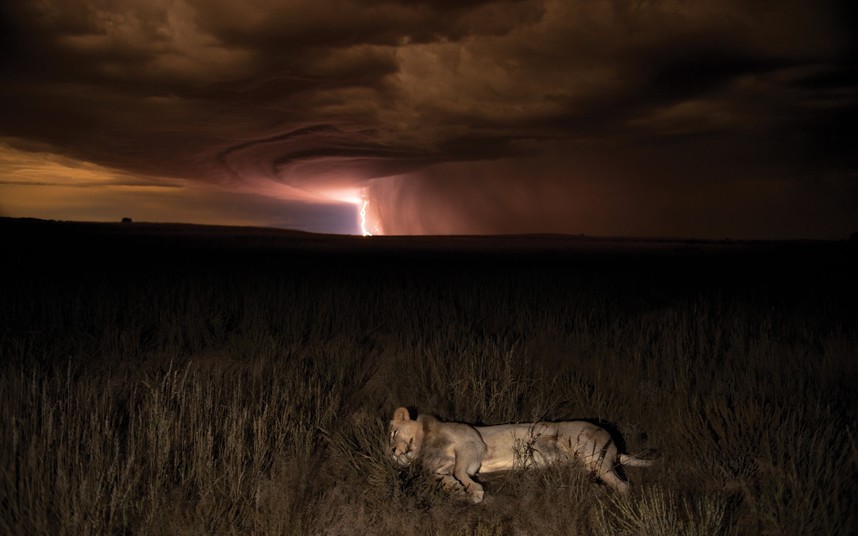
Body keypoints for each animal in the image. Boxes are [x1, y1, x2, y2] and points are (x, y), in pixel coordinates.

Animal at [386, 406, 648, 502]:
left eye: (394, 432)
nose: (391, 453)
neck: (425, 445)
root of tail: (615, 444)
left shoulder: (473, 442)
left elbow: (461, 469)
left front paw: (474, 491)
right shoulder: (444, 465)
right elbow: (438, 477)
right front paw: (458, 489)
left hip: (591, 453)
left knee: (624, 486)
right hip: (590, 464)